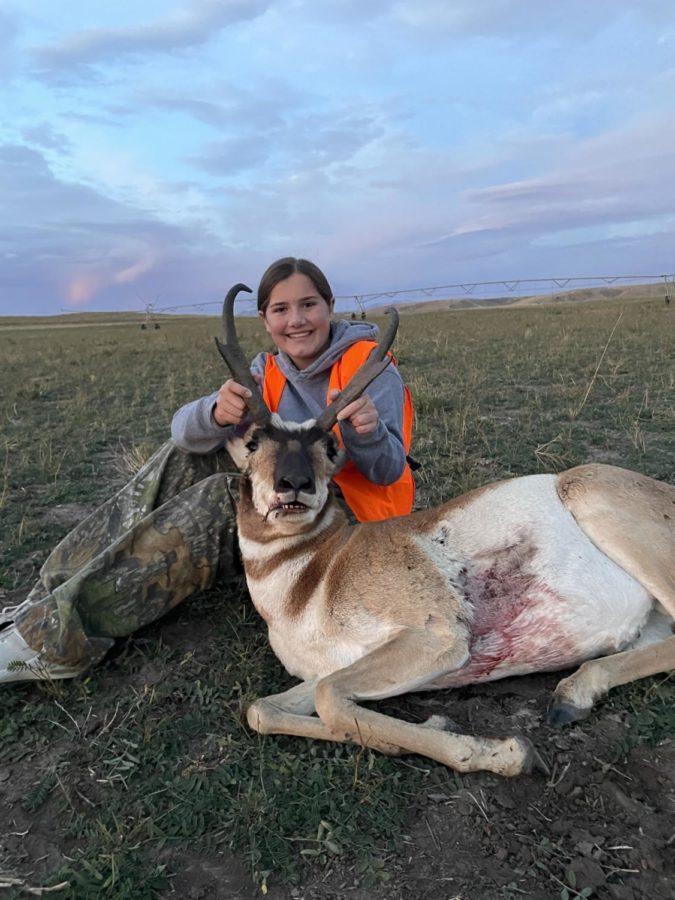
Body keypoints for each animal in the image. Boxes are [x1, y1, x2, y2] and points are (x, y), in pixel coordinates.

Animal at [215, 284, 675, 776]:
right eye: (253, 442)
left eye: (329, 446)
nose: (294, 483)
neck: (318, 574)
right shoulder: (332, 667)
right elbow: (263, 709)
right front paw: (426, 730)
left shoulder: (438, 637)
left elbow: (330, 698)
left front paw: (503, 751)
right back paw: (575, 695)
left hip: (595, 502)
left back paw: (569, 694)